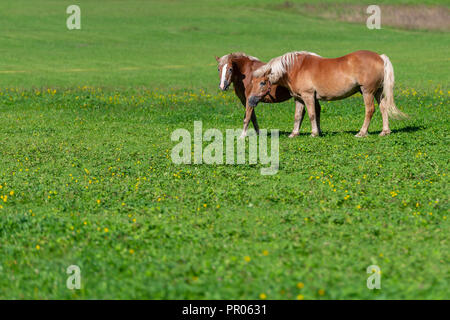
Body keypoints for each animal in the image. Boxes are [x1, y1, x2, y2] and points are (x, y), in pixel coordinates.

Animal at [250, 50, 408, 138]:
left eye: (262, 83)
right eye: (252, 82)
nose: (251, 100)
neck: (296, 67)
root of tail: (380, 57)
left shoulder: (308, 96)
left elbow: (312, 114)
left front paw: (314, 133)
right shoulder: (299, 98)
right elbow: (298, 116)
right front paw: (294, 134)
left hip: (367, 92)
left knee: (370, 110)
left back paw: (362, 133)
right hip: (378, 92)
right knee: (383, 109)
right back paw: (385, 131)